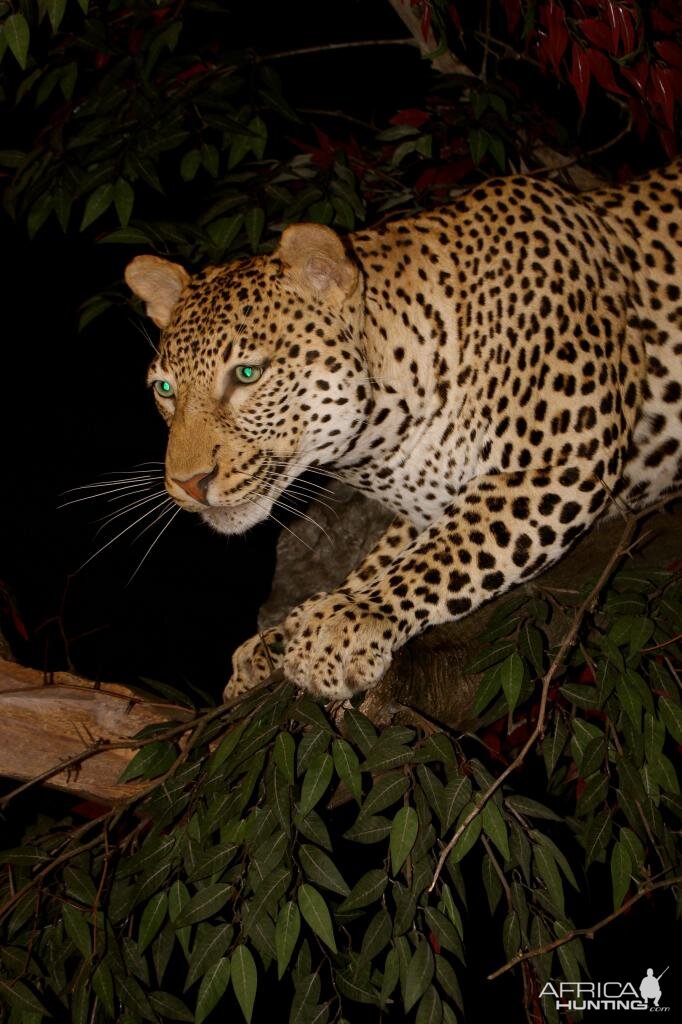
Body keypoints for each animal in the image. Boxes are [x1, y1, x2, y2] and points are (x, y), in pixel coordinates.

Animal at [125, 159, 679, 704]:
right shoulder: (428, 503)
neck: (383, 440)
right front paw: (278, 639)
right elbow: (385, 557)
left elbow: (449, 550)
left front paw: (348, 620)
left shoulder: (559, 459)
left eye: (246, 374)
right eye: (165, 388)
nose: (188, 483)